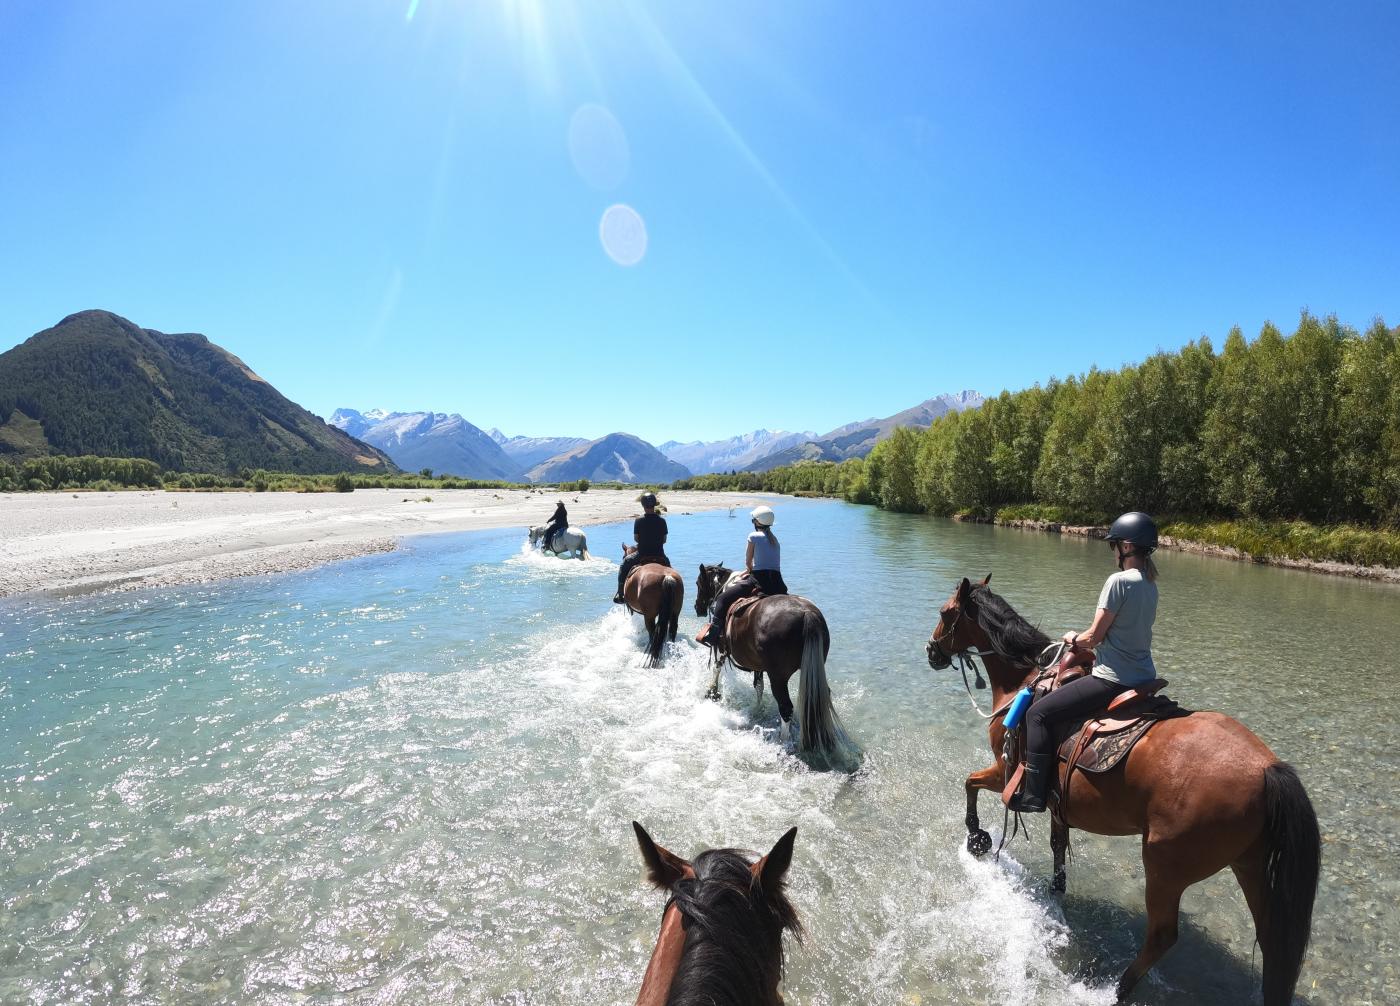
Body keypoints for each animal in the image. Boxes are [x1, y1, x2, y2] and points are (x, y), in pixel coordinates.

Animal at [697, 562, 856, 766]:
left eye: (698, 583)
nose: (698, 607)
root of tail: (807, 614)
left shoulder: (723, 647)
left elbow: (717, 667)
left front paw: (712, 692)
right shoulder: (758, 666)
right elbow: (758, 686)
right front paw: (758, 709)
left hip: (778, 677)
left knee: (786, 708)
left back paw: (783, 742)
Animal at [924, 573, 1316, 1006]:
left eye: (946, 612)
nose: (931, 652)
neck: (1022, 682)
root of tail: (1266, 768)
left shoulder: (1006, 770)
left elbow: (969, 782)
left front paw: (977, 838)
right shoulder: (1057, 804)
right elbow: (1057, 846)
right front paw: (1056, 890)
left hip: (1164, 864)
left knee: (1162, 935)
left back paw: (1117, 988)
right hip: (1252, 866)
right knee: (1273, 942)